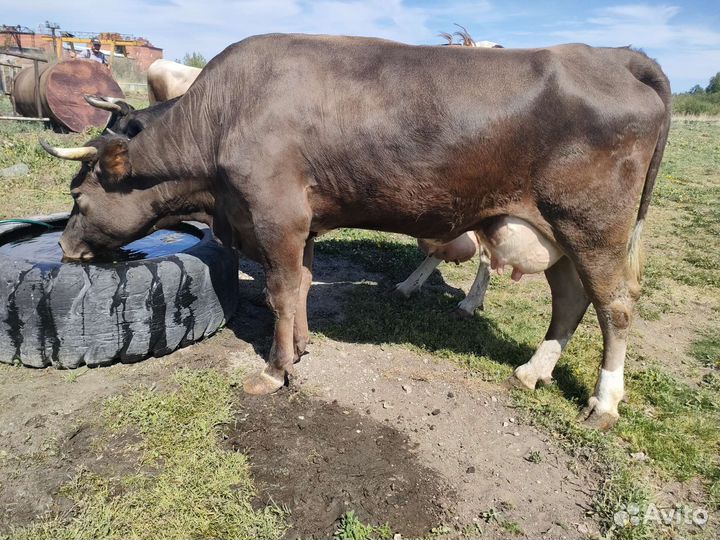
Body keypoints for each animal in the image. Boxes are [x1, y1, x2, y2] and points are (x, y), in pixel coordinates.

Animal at [41, 34, 671, 430]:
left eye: (78, 196)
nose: (65, 248)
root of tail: (615, 58)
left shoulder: (276, 214)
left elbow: (280, 289)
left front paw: (274, 371)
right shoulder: (303, 221)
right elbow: (301, 283)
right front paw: (301, 347)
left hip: (592, 224)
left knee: (615, 305)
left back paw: (604, 402)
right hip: (555, 229)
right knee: (571, 298)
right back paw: (534, 371)